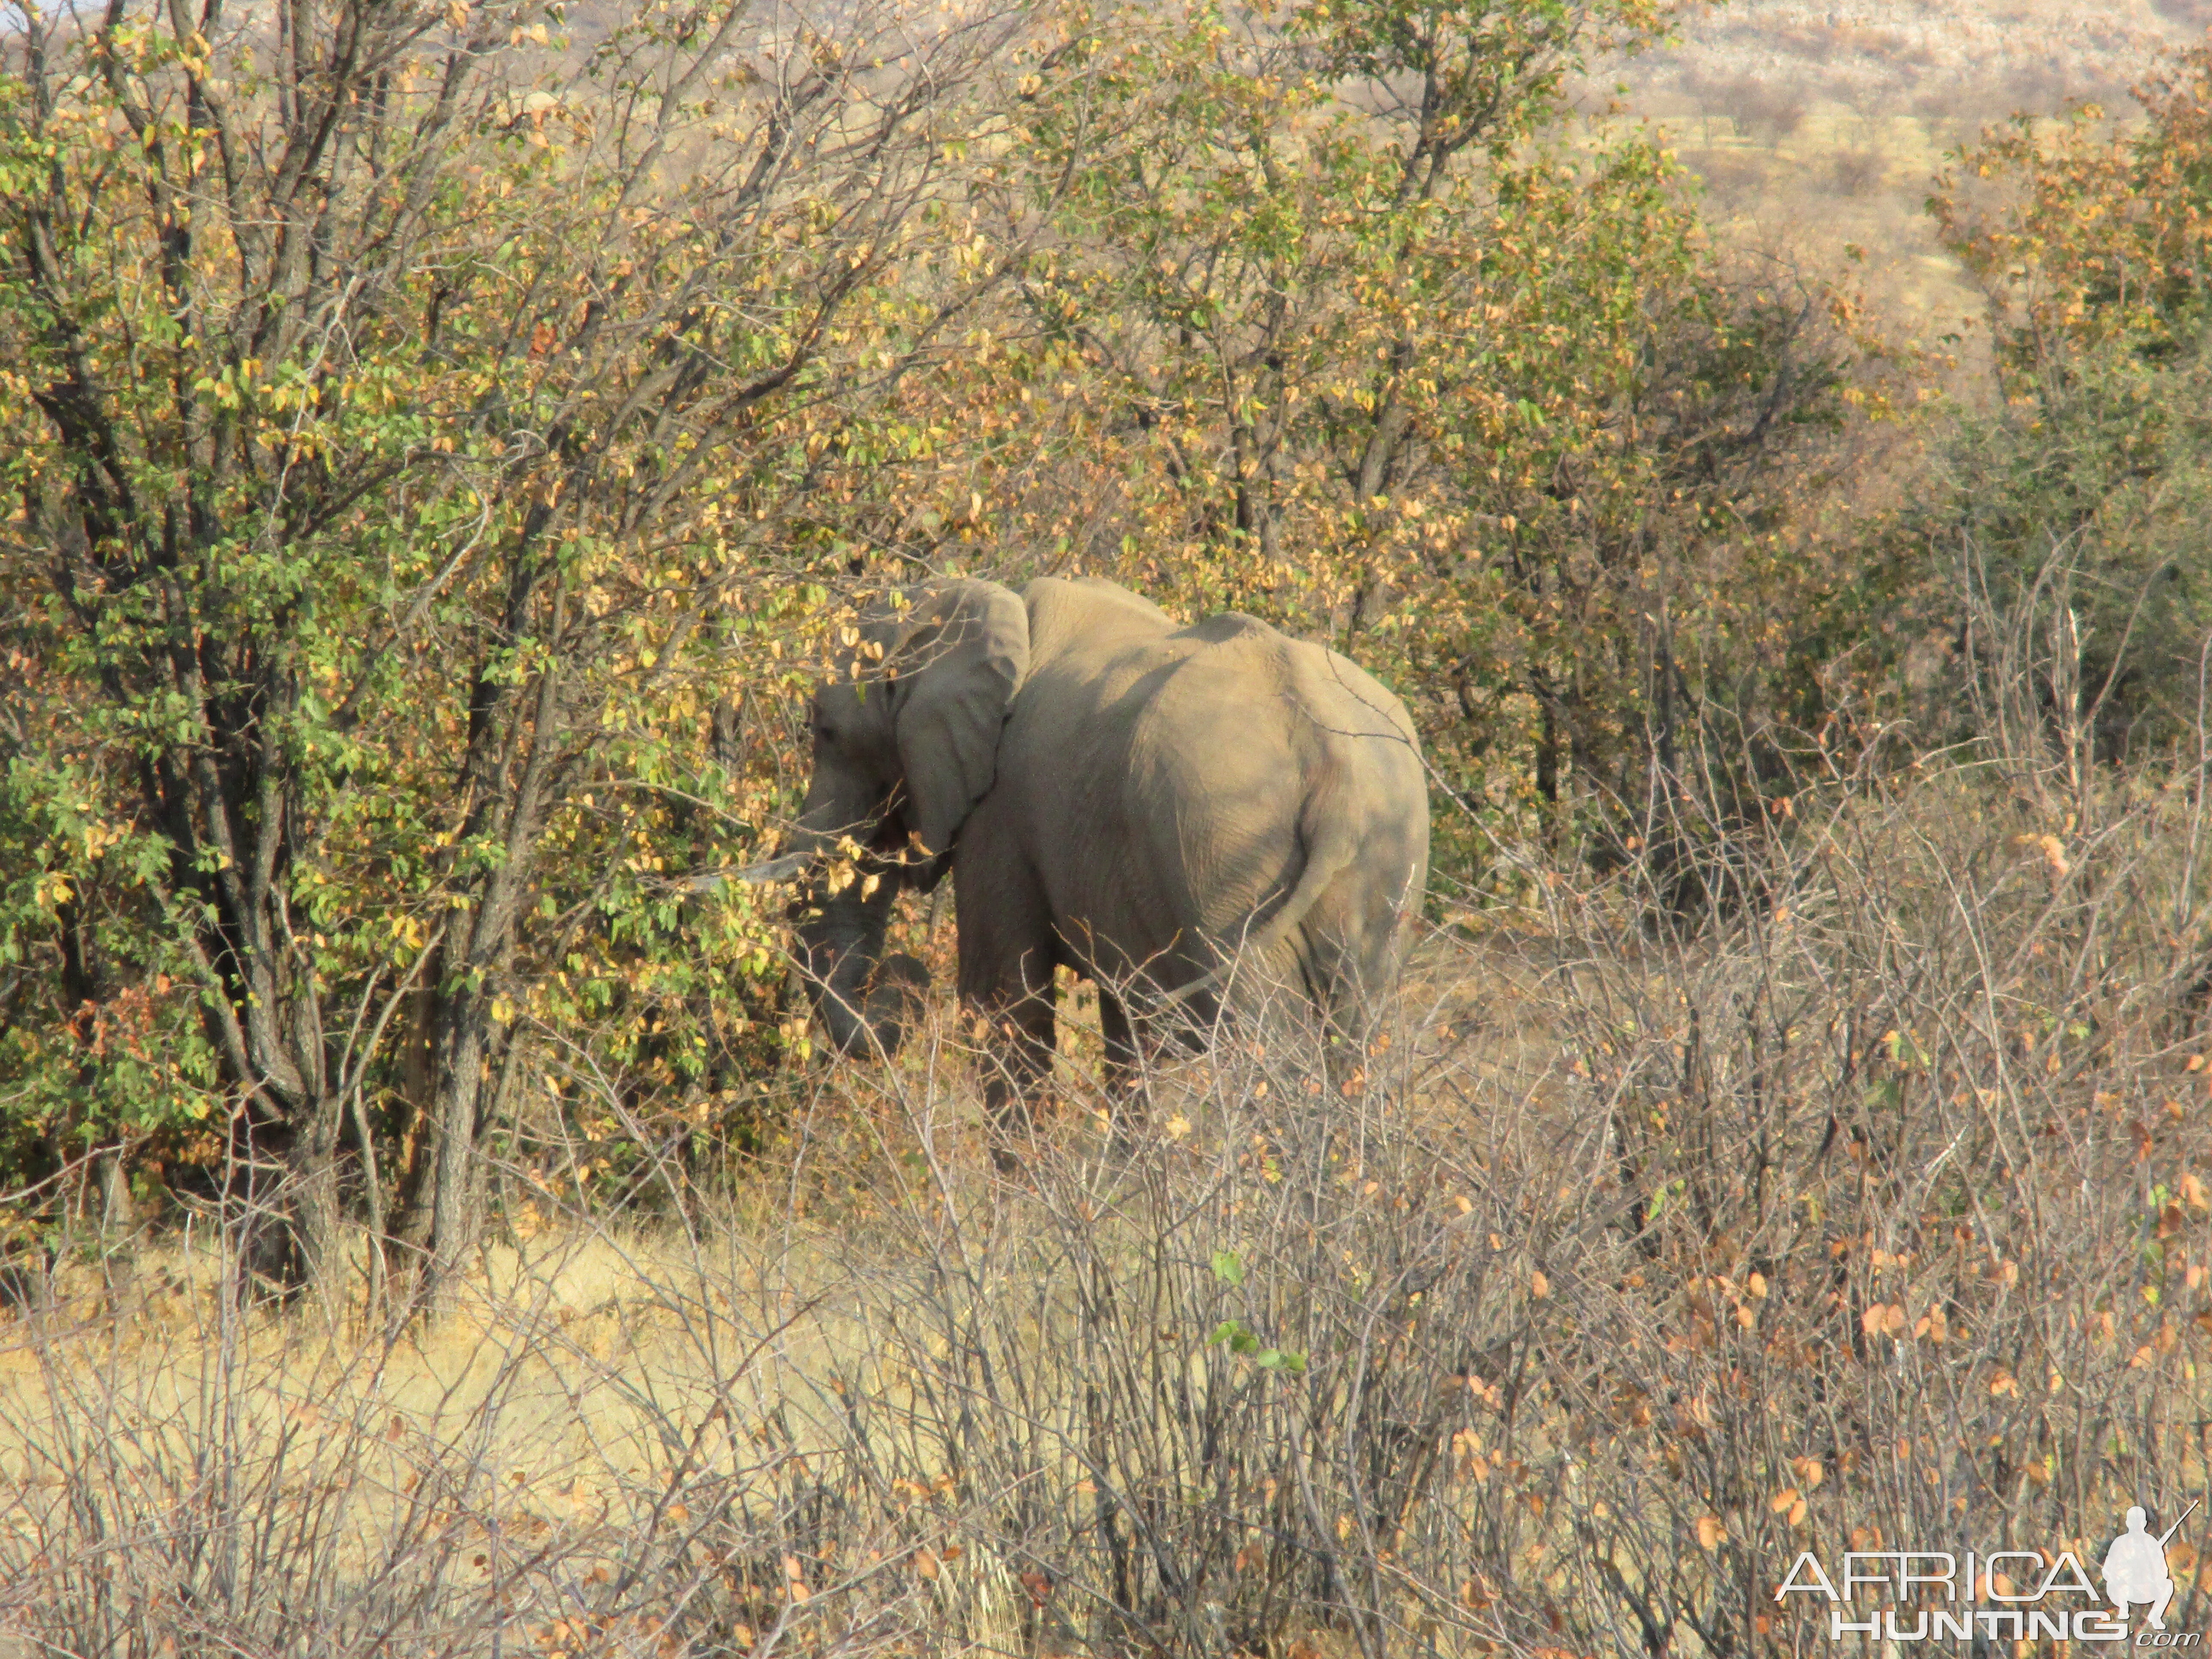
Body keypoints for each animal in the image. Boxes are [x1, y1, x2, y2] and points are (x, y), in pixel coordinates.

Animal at [752, 571, 1424, 1132]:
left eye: (825, 731)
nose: (903, 978)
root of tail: (1332, 769)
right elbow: (1123, 1026)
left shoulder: (1001, 812)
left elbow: (1004, 1002)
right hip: (1381, 857)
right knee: (1358, 1036)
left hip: (1226, 857)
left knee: (1266, 1044)